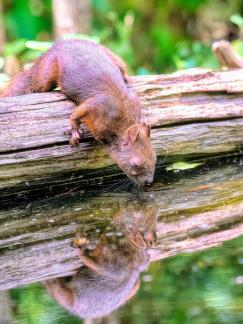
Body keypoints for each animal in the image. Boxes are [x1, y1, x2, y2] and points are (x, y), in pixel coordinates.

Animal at [1, 39, 157, 186]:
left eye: (155, 157)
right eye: (135, 163)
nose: (148, 182)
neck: (122, 122)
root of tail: (56, 46)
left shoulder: (133, 101)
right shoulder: (98, 105)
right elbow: (78, 113)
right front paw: (74, 130)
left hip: (116, 59)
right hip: (47, 71)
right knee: (38, 82)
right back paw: (31, 89)